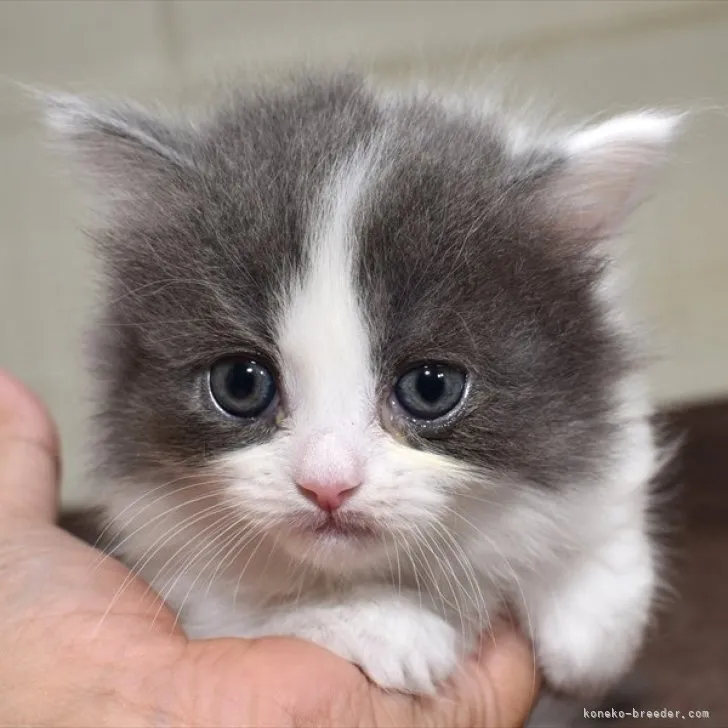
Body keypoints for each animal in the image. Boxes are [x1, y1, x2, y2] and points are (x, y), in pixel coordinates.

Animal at [49, 72, 676, 700]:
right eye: (240, 383)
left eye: (430, 388)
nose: (327, 485)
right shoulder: (190, 589)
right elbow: (262, 616)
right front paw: (383, 621)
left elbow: (605, 521)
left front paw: (587, 622)